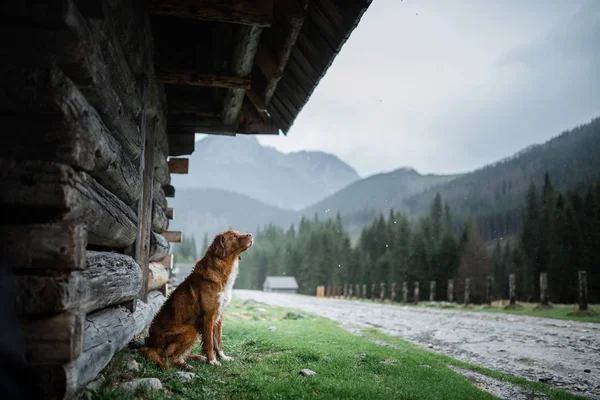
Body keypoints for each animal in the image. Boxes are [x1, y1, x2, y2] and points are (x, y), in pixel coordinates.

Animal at [141, 228, 253, 368]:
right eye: (233, 236)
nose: (250, 235)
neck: (222, 268)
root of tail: (150, 345)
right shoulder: (209, 316)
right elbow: (210, 342)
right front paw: (212, 360)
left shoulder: (219, 316)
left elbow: (218, 341)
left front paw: (222, 357)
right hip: (190, 330)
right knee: (170, 358)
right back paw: (187, 365)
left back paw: (197, 358)